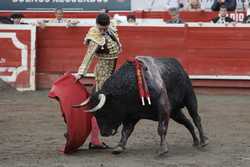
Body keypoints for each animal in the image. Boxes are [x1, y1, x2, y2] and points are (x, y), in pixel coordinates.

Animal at [75, 56, 208, 155]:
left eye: (106, 110)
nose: (104, 133)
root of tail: (178, 65)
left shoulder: (163, 106)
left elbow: (161, 128)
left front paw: (162, 150)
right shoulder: (132, 114)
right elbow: (126, 131)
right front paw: (119, 147)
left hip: (190, 98)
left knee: (196, 118)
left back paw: (203, 141)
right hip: (175, 112)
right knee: (187, 122)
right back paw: (196, 141)